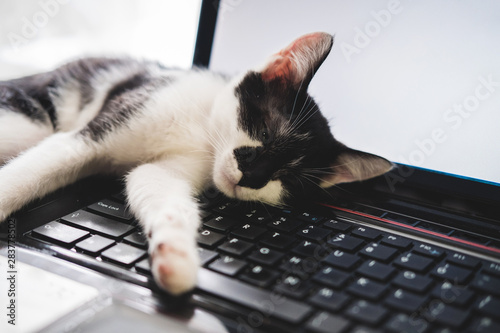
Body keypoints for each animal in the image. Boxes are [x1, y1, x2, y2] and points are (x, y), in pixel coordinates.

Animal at [0, 32, 392, 294]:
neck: (202, 132)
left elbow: (157, 186)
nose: (252, 177)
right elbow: (35, 168)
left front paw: (175, 255)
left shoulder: (168, 169)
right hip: (28, 119)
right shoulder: (103, 126)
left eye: (289, 178)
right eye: (264, 132)